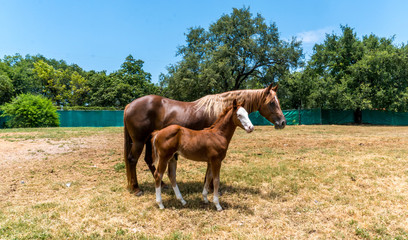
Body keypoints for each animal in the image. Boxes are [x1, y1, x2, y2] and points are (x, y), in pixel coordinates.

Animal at [122, 82, 286, 195]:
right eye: (272, 102)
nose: (282, 122)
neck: (219, 108)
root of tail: (129, 105)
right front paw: (213, 188)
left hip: (148, 141)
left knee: (148, 160)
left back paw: (161, 184)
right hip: (139, 141)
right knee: (132, 160)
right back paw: (136, 189)